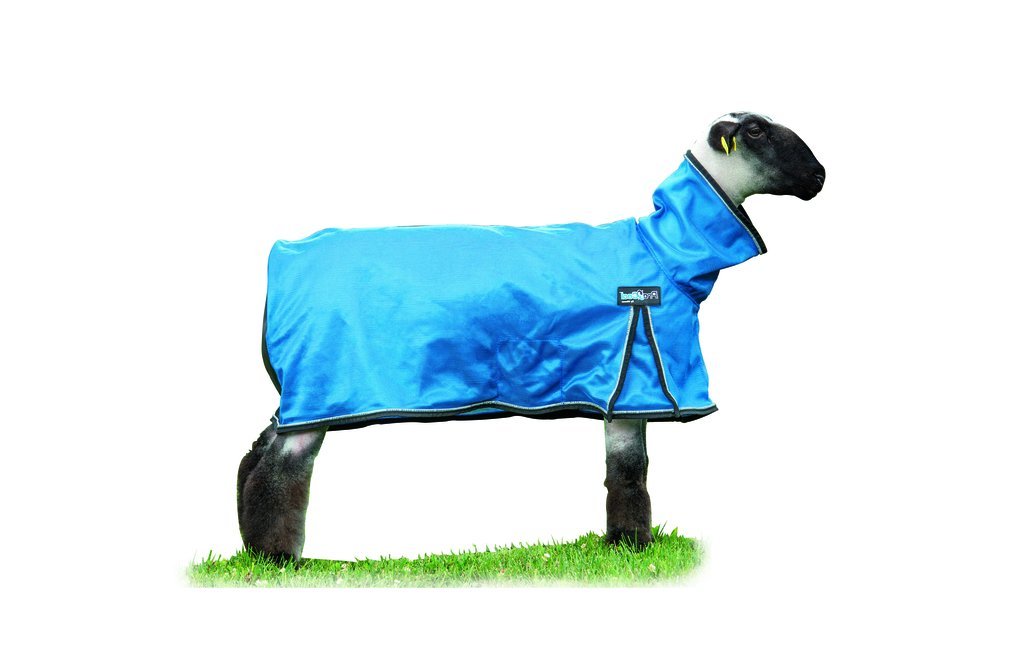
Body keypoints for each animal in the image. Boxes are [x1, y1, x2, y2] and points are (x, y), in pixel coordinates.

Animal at [237, 111, 825, 561]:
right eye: (756, 131)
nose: (820, 177)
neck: (664, 251)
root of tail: (283, 254)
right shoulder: (634, 383)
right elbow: (631, 474)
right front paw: (635, 548)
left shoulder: (625, 393)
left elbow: (624, 471)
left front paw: (622, 545)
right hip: (319, 386)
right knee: (281, 468)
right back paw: (278, 557)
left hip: (299, 392)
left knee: (258, 450)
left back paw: (252, 542)